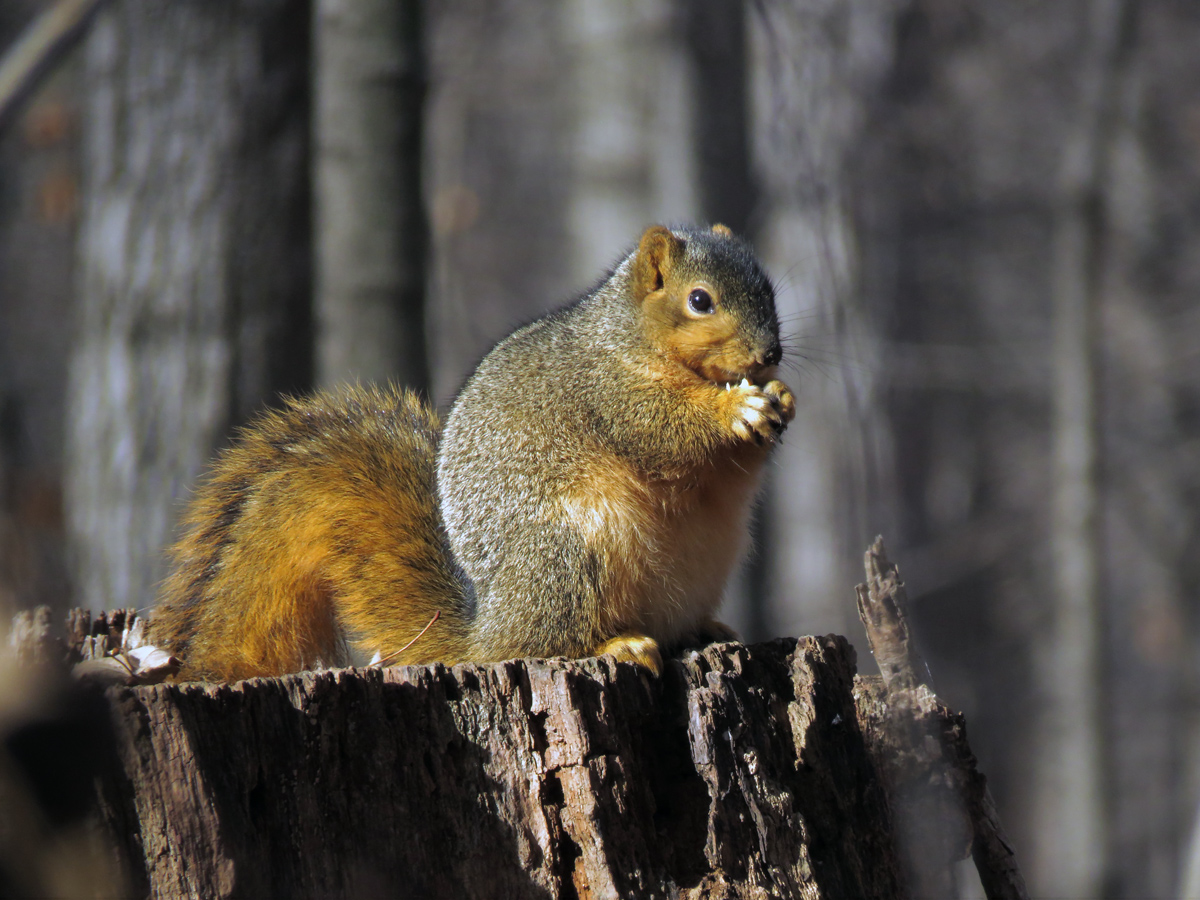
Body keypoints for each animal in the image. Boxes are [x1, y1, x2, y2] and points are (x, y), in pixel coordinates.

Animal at [151, 224, 795, 681]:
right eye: (700, 300)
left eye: (769, 289)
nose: (769, 354)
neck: (632, 335)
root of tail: (482, 630)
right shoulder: (604, 389)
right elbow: (658, 429)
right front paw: (734, 410)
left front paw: (780, 398)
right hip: (565, 553)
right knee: (542, 644)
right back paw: (619, 643)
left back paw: (706, 630)